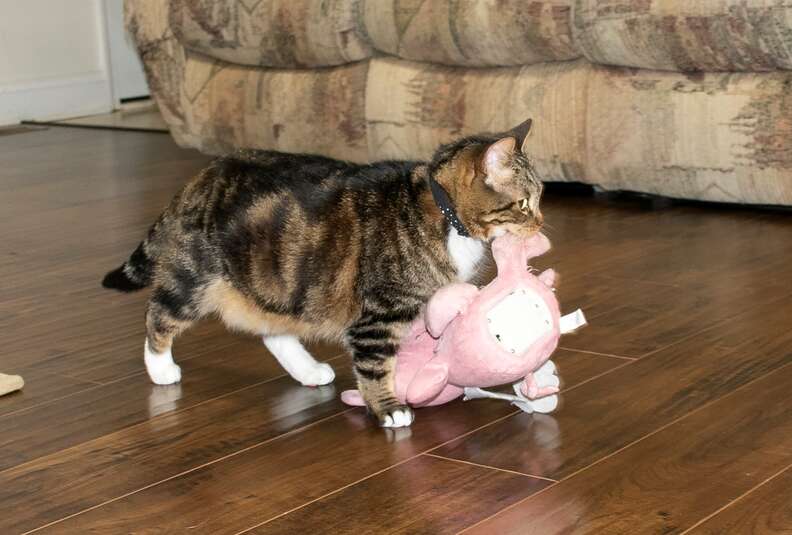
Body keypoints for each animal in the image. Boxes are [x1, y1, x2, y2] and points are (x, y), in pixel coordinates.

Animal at [102, 119, 540, 430]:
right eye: (523, 203)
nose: (540, 222)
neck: (440, 209)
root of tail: (202, 177)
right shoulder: (378, 314)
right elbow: (376, 364)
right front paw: (388, 408)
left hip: (279, 279)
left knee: (272, 329)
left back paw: (308, 370)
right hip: (197, 277)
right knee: (160, 313)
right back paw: (161, 369)